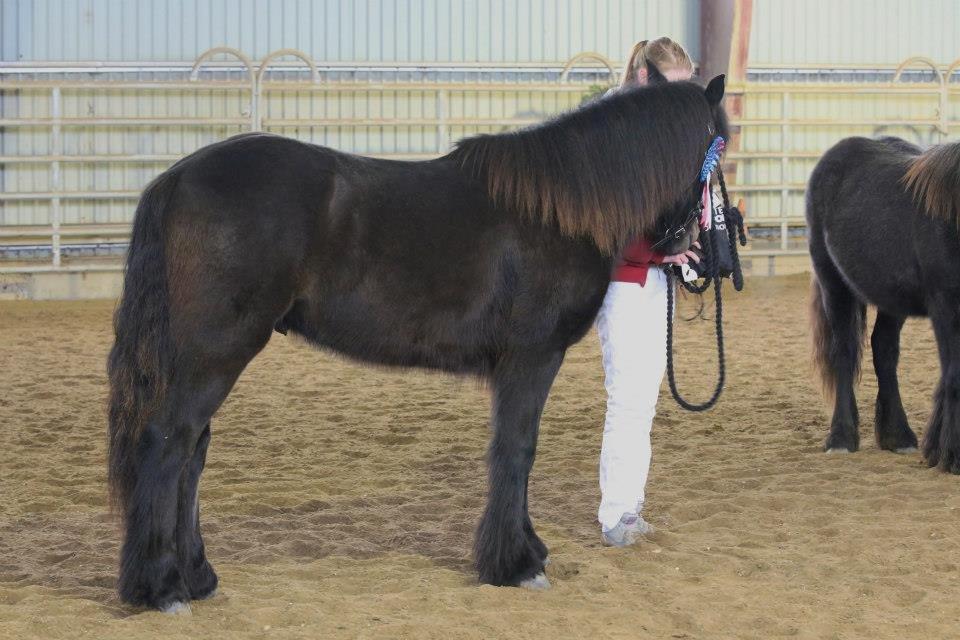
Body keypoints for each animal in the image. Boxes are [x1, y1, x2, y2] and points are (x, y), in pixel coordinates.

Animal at [106, 70, 729, 611]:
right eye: (721, 146)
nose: (692, 249)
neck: (557, 211)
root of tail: (176, 178)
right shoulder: (532, 357)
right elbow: (517, 450)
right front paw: (516, 563)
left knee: (192, 453)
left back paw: (197, 577)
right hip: (215, 352)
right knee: (169, 443)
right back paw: (162, 588)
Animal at [808, 135, 960, 472]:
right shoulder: (946, 305)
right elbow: (954, 373)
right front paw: (951, 457)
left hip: (891, 300)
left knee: (884, 351)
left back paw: (898, 437)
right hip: (833, 282)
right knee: (844, 352)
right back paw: (841, 438)